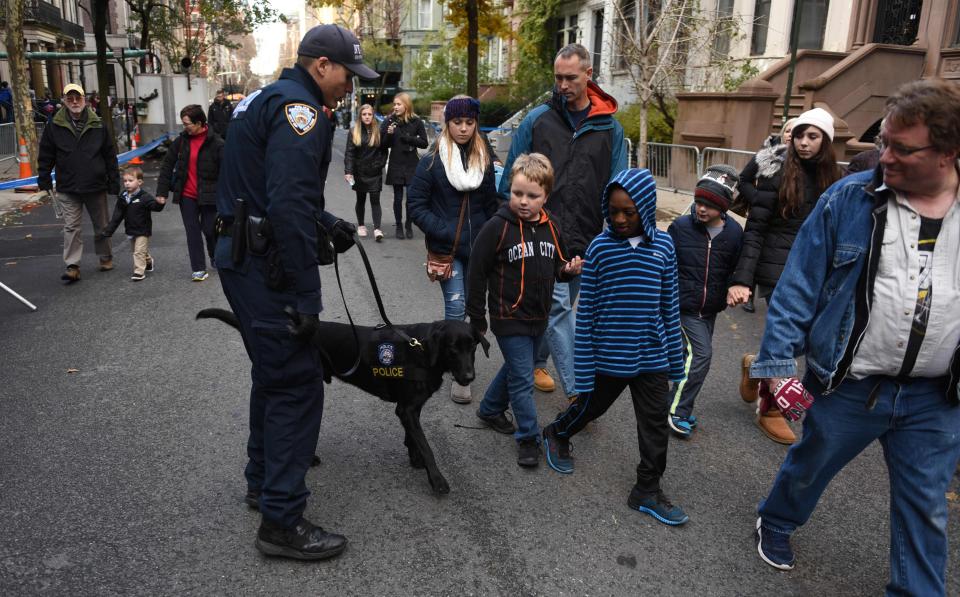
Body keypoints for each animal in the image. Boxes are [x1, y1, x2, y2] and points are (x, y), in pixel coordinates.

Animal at [199, 308, 492, 494]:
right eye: (452, 349)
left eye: (473, 347)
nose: (468, 377)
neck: (421, 349)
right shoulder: (406, 409)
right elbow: (427, 446)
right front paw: (437, 479)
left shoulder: (410, 409)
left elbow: (414, 438)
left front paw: (415, 459)